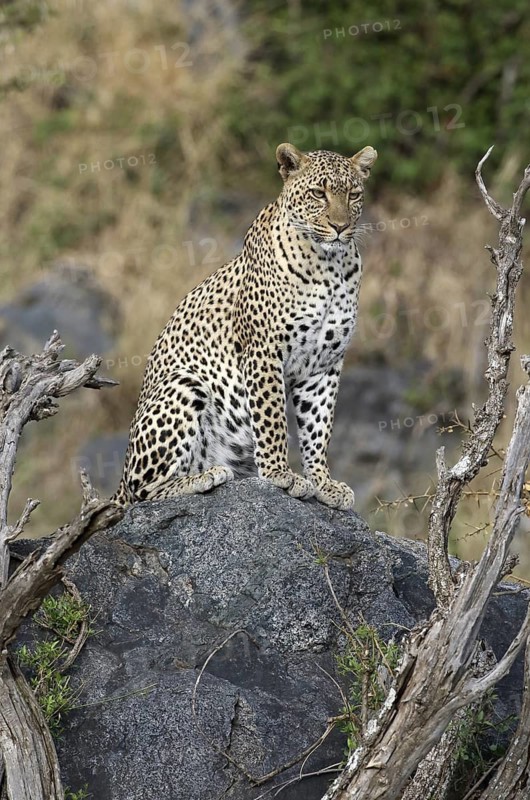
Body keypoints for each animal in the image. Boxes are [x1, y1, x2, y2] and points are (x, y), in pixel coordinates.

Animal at [111, 142, 377, 510]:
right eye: (318, 193)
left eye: (353, 194)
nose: (340, 226)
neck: (330, 265)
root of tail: (119, 482)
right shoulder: (264, 352)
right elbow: (272, 418)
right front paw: (281, 474)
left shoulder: (325, 365)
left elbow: (318, 427)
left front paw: (323, 482)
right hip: (184, 382)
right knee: (144, 491)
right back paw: (206, 476)